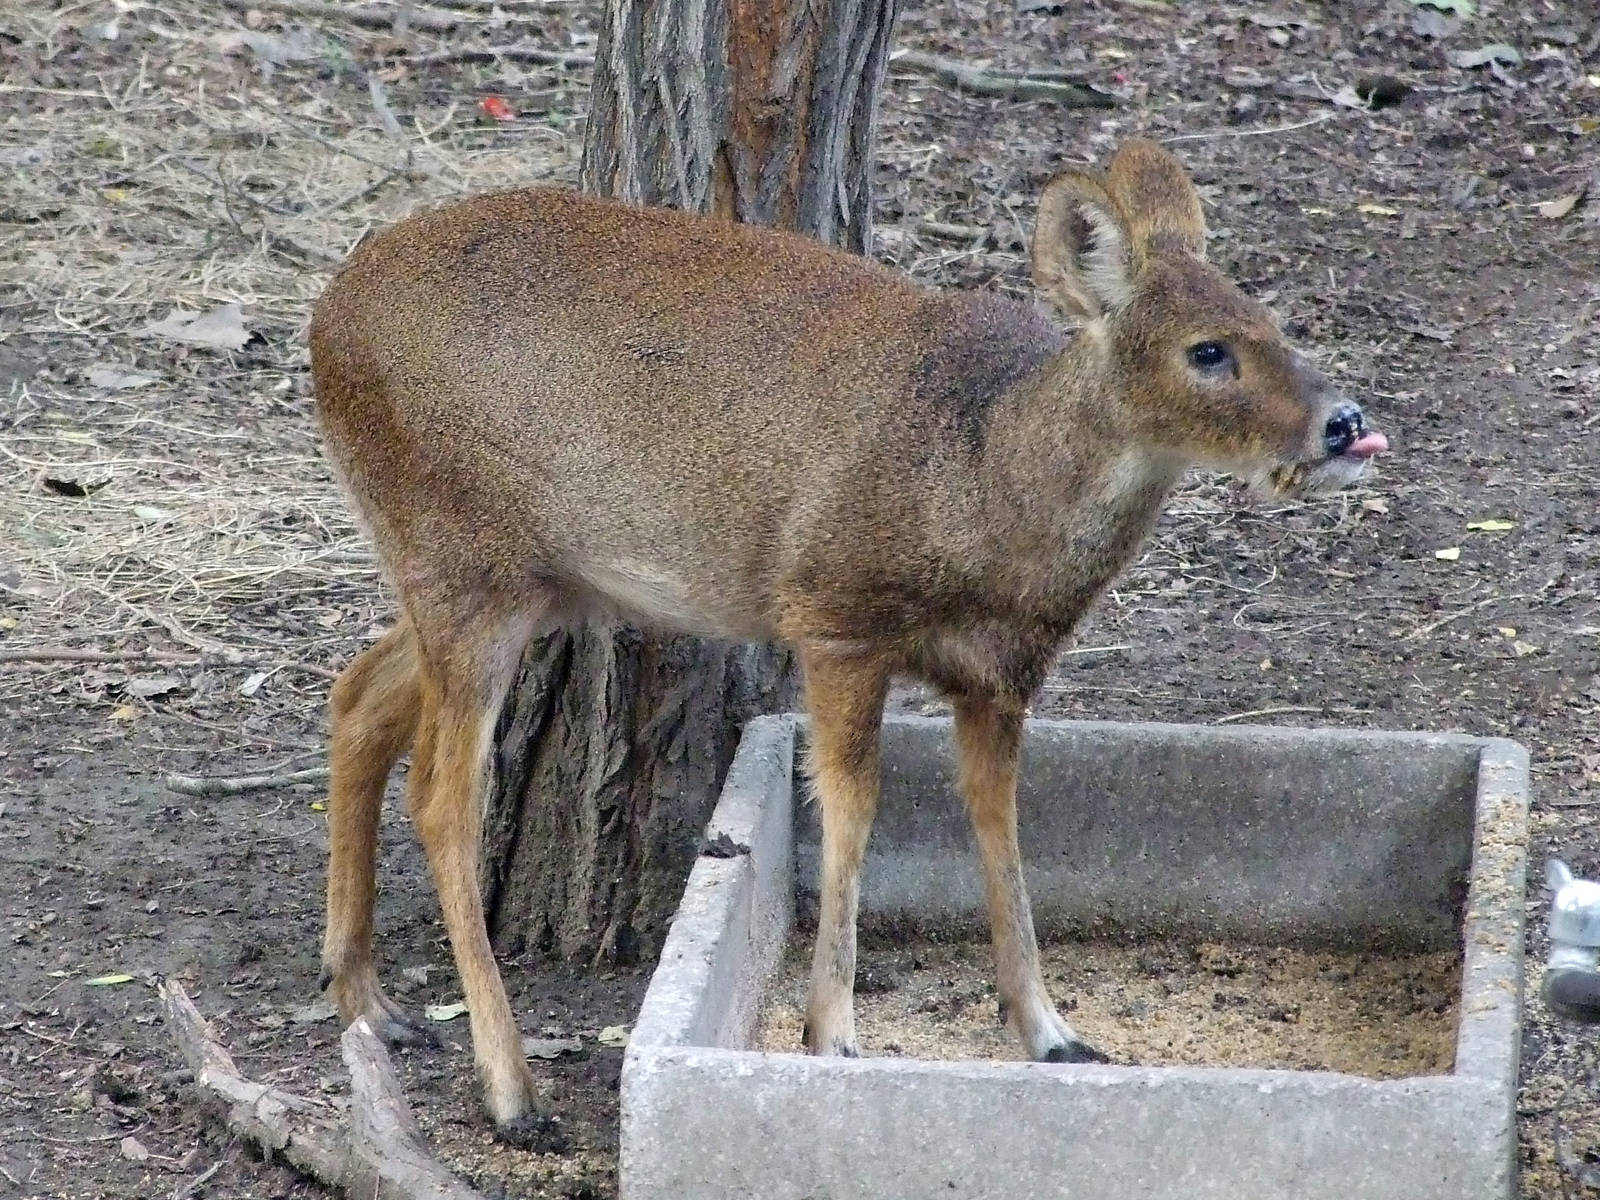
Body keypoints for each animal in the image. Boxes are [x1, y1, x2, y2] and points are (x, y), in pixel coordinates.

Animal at [308, 139, 1387, 1142]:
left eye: (1273, 323)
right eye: (1208, 351)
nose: (1345, 423)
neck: (983, 484)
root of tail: (327, 316)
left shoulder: (1001, 673)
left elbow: (998, 818)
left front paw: (1052, 1031)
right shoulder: (834, 617)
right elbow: (852, 806)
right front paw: (832, 1033)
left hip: (525, 583)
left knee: (358, 689)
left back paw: (365, 998)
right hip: (465, 561)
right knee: (442, 794)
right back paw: (508, 1088)